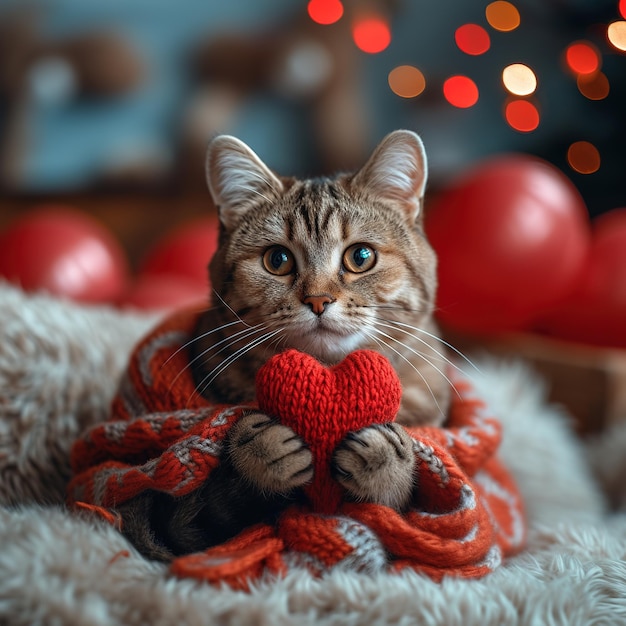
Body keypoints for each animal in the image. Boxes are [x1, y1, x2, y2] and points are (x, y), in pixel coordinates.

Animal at [118, 129, 448, 560]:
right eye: (277, 259)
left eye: (361, 256)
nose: (319, 300)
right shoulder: (179, 521)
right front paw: (260, 449)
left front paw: (386, 456)